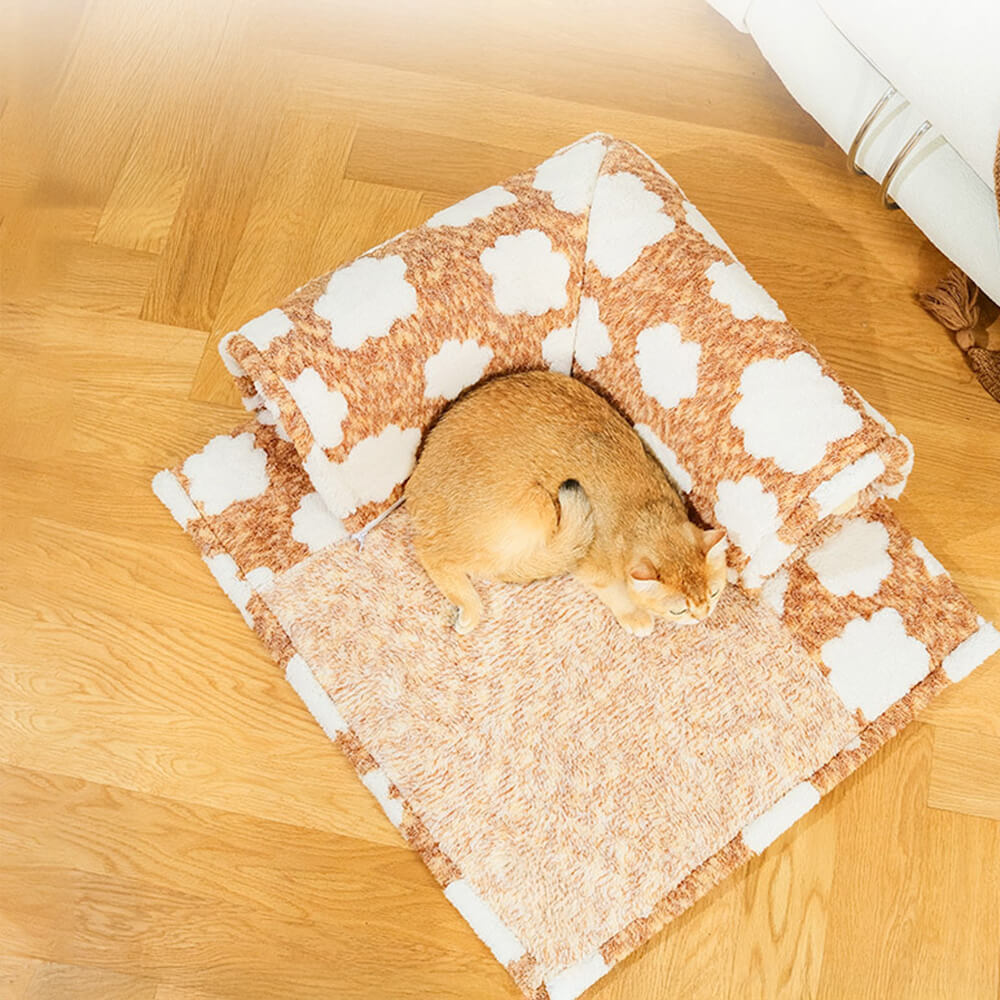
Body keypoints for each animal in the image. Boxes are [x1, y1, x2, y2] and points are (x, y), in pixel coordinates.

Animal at [404, 372, 728, 636]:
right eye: (679, 609)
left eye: (713, 594)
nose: (702, 615)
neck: (645, 512)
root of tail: (414, 489)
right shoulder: (591, 565)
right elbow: (613, 589)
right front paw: (634, 615)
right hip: (535, 512)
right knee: (431, 552)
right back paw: (469, 608)